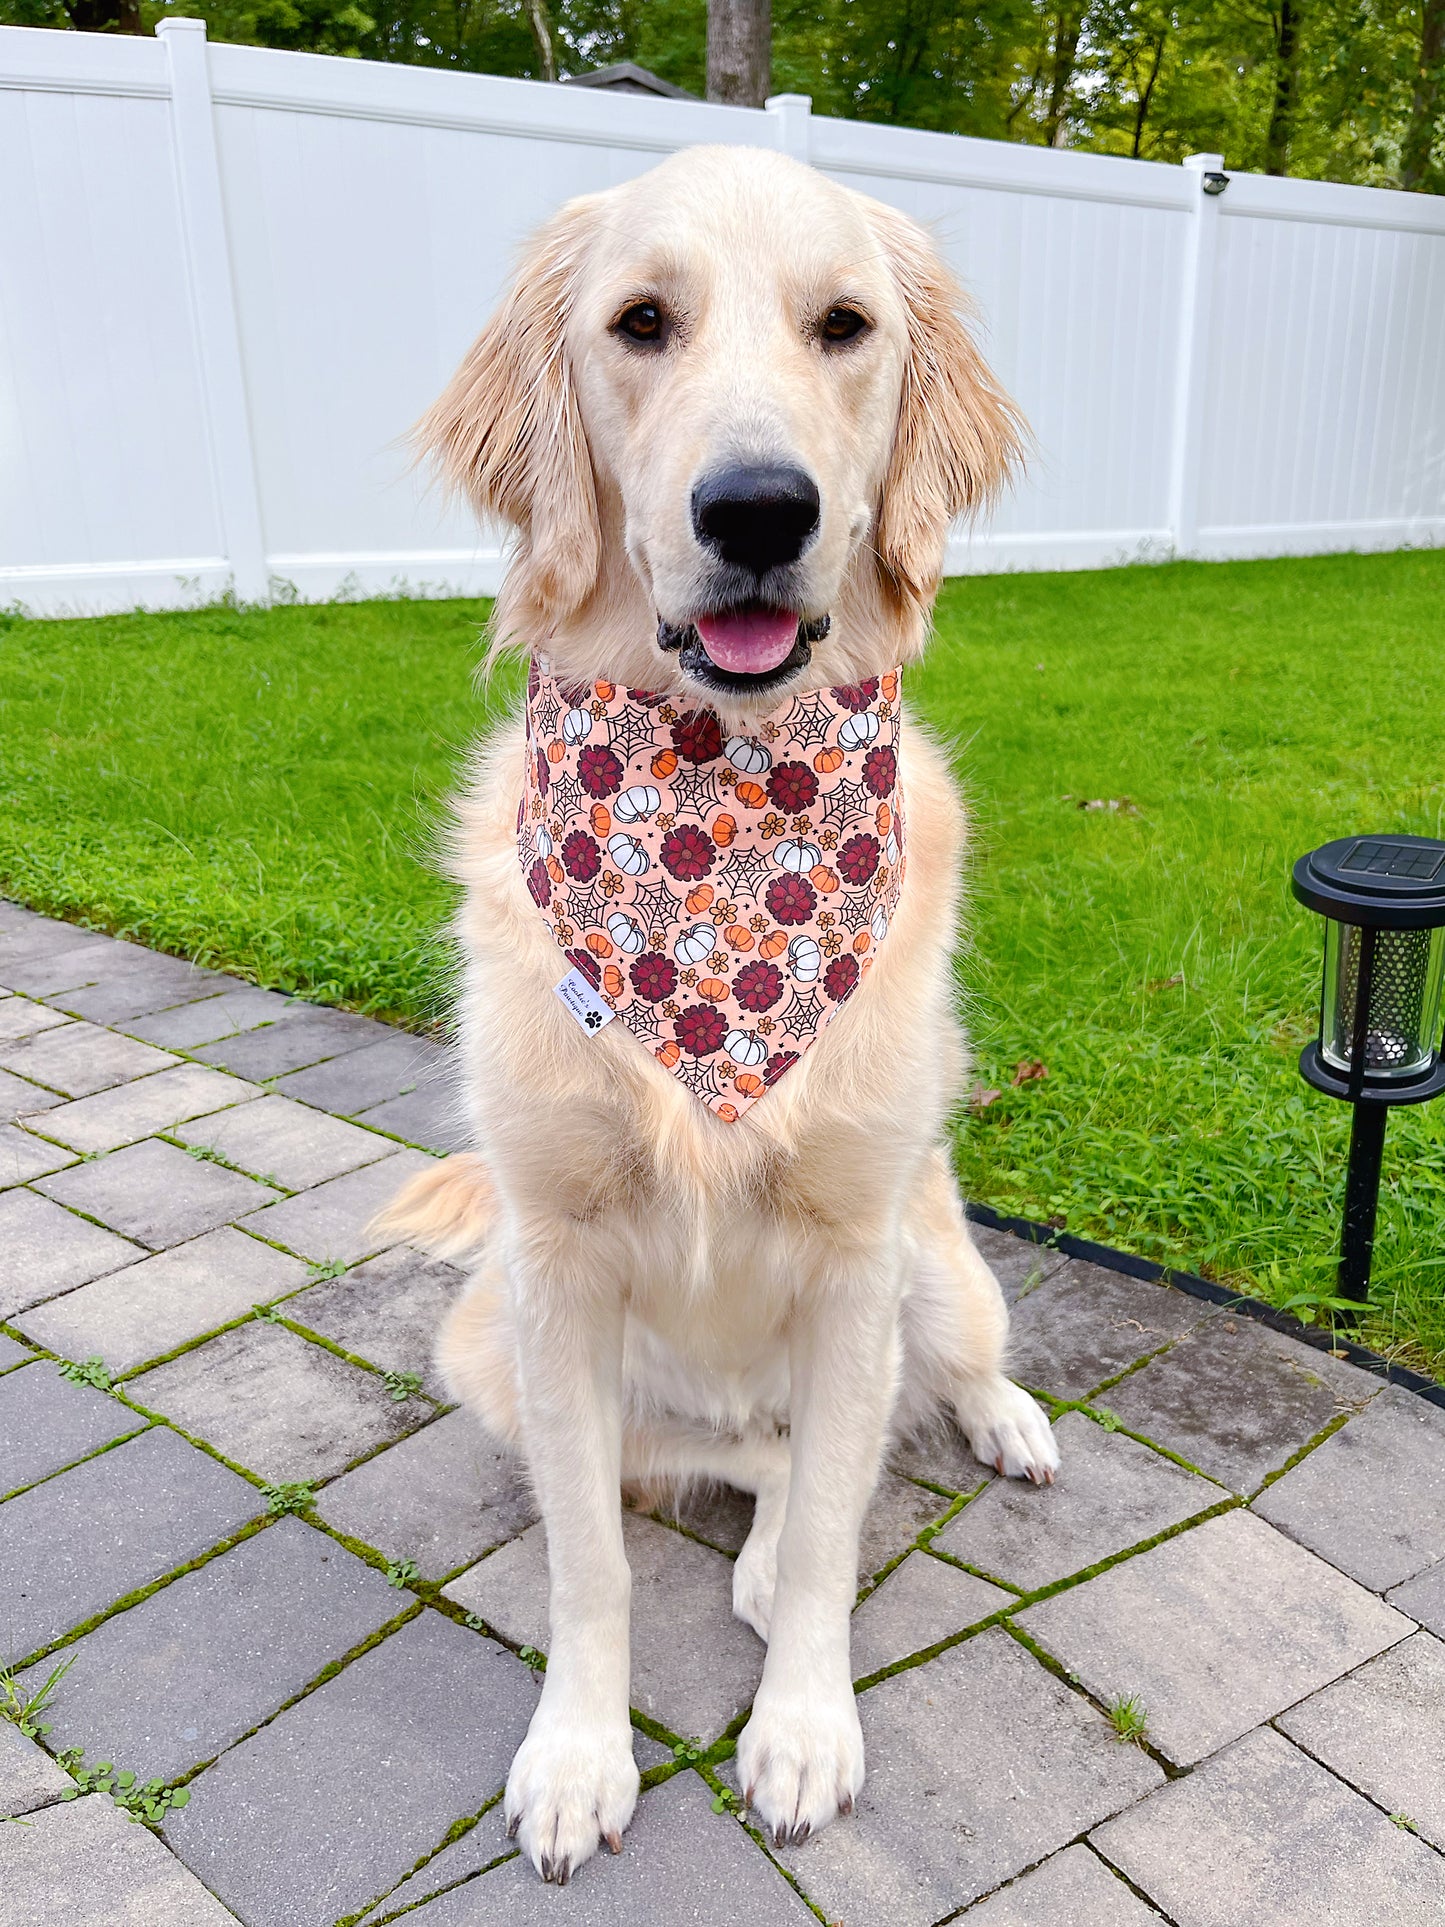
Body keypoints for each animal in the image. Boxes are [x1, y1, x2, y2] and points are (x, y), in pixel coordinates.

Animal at [385, 146, 1063, 1880]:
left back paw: (1006, 1420)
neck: (713, 822)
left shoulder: (854, 1253)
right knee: (726, 1458)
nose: (759, 508)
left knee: (920, 1390)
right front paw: (576, 1754)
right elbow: (596, 1561)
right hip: (482, 1341)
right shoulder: (553, 1275)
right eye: (642, 322)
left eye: (844, 326)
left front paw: (804, 1727)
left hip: (936, 1261)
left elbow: (830, 1522)